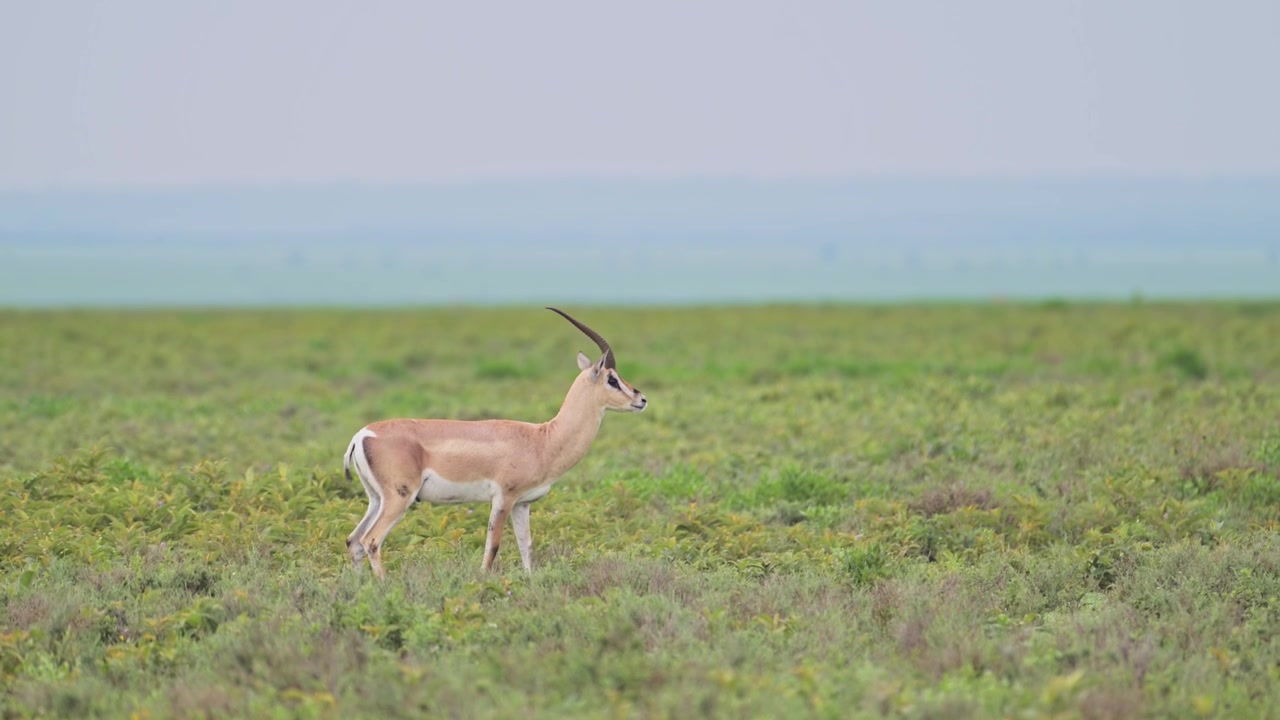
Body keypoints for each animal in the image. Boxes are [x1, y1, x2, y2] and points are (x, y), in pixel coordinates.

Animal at [342, 307, 647, 578]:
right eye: (612, 379)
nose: (641, 399)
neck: (543, 440)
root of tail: (362, 434)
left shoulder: (523, 504)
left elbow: (526, 547)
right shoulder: (503, 498)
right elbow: (492, 548)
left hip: (376, 499)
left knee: (353, 540)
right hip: (399, 497)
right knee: (371, 541)